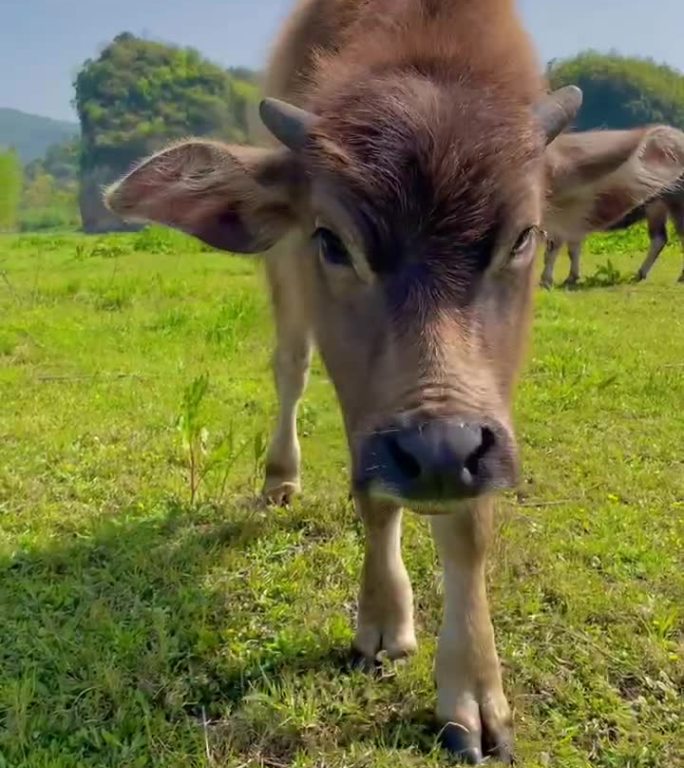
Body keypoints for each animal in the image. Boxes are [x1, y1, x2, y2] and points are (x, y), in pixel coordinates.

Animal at [540, 130, 684, 290]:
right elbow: (573, 248)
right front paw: (571, 278)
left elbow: (553, 250)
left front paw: (546, 281)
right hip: (656, 207)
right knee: (659, 238)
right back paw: (640, 274)